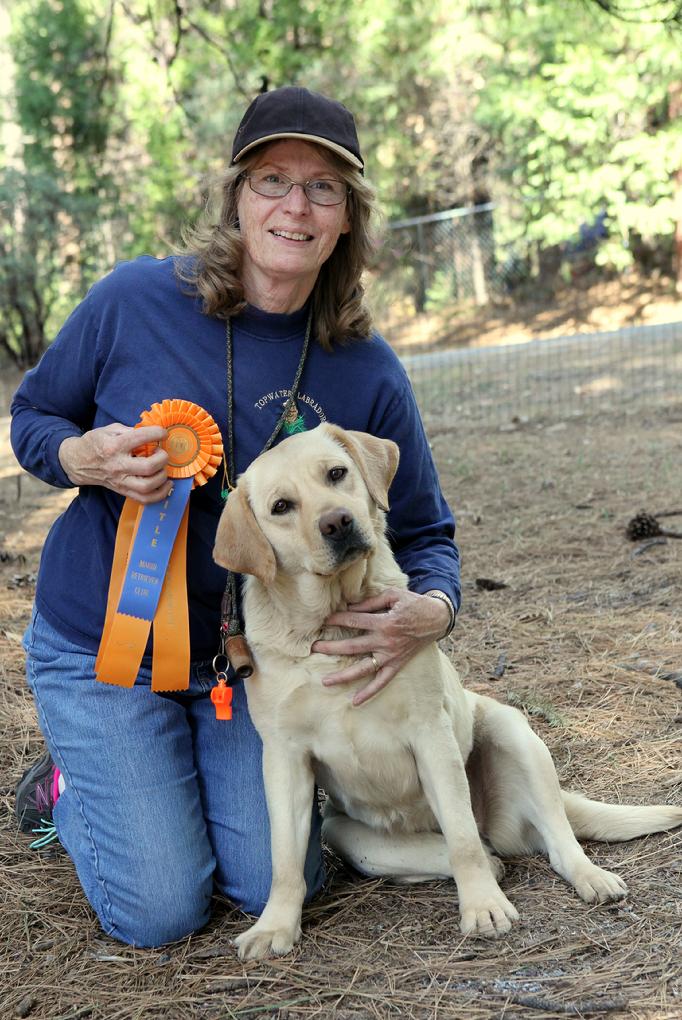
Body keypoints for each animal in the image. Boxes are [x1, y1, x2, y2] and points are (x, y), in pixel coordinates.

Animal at [214, 418, 680, 958]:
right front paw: (274, 927)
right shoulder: (284, 757)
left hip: (513, 734)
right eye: (281, 507)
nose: (338, 522)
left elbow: (461, 837)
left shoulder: (429, 735)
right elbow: (284, 860)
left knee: (546, 838)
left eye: (336, 474)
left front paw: (483, 906)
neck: (336, 623)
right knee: (478, 848)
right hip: (345, 831)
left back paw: (587, 876)